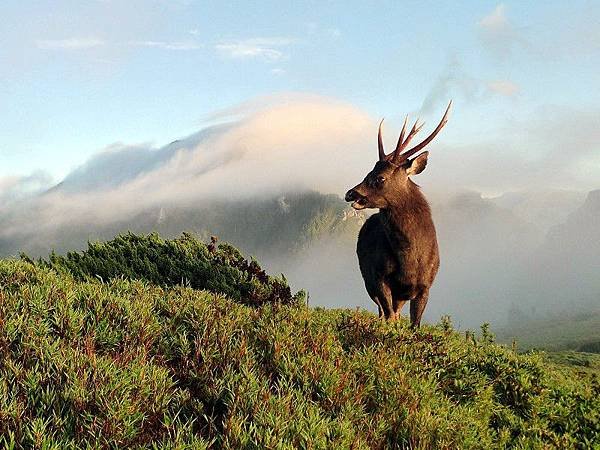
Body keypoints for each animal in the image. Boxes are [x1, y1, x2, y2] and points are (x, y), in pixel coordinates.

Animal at [342, 102, 450, 326]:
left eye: (380, 177)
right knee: (383, 312)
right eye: (368, 172)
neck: (411, 260)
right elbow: (389, 317)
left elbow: (414, 324)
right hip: (367, 281)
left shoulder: (425, 286)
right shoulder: (379, 277)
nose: (350, 193)